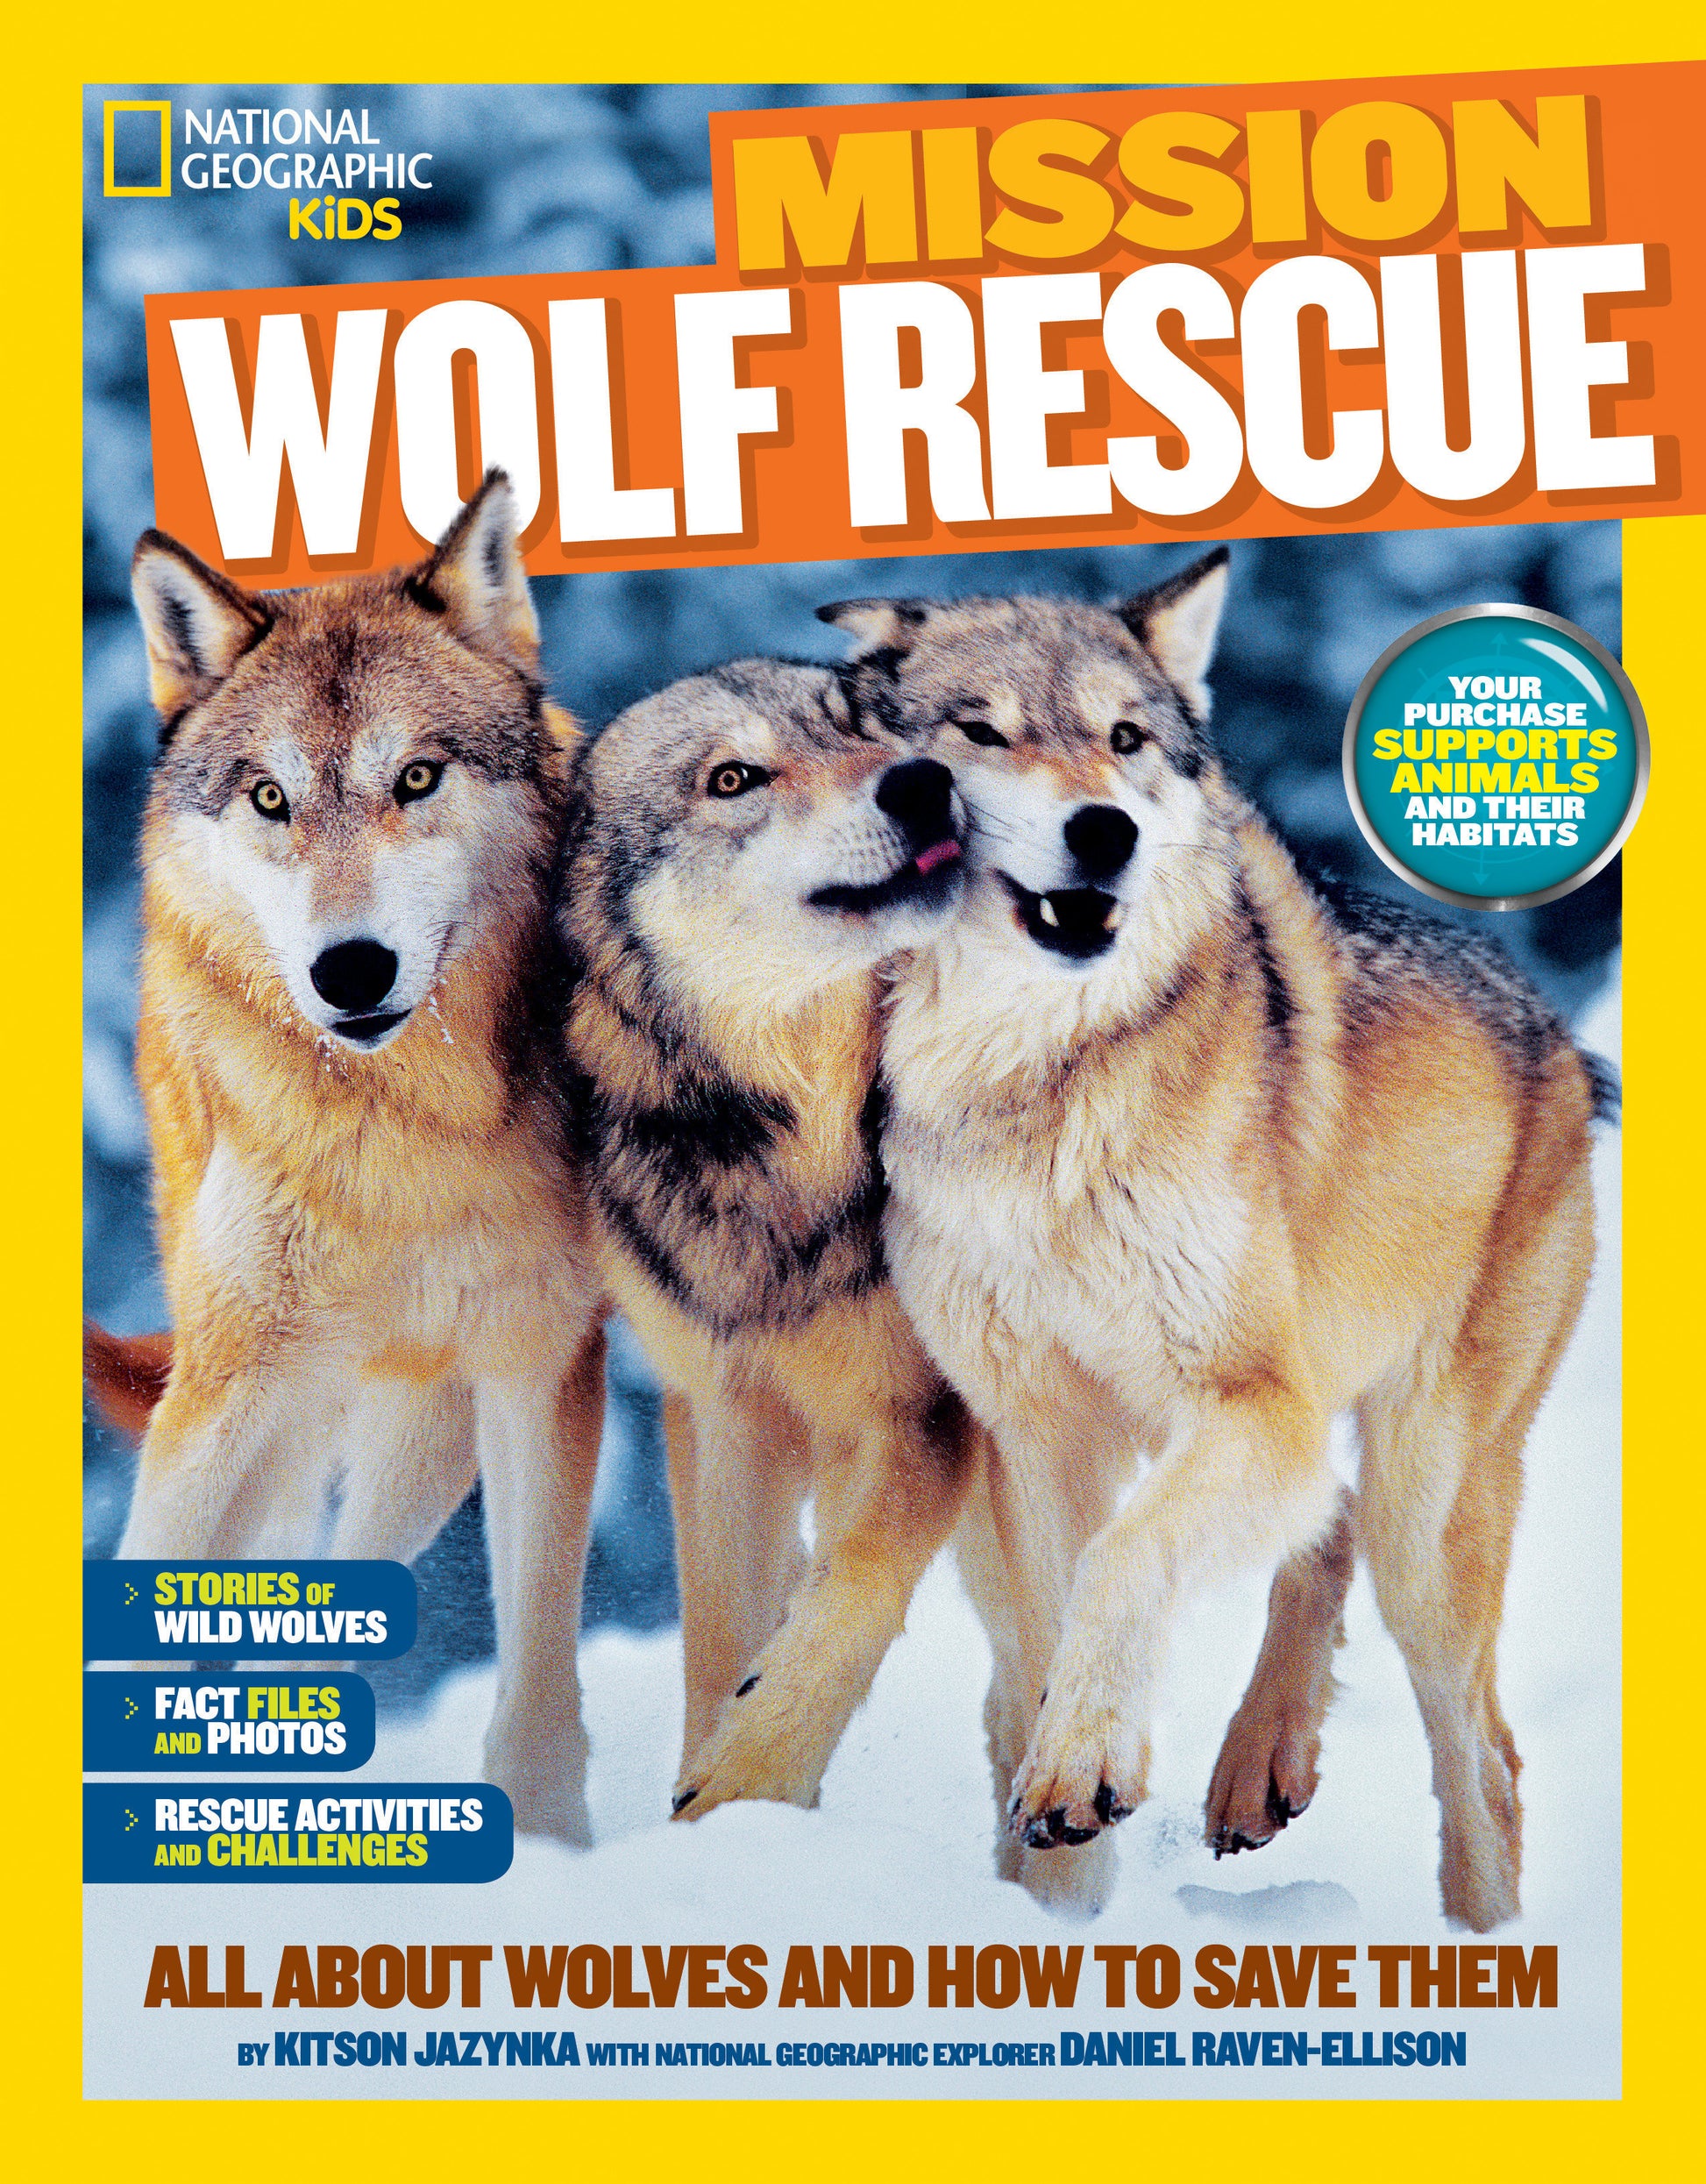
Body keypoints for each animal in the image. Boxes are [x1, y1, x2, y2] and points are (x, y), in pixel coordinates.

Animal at [102, 470, 606, 1840]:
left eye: (418, 776)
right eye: (270, 797)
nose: (350, 970)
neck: (412, 1135)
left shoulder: (543, 1365)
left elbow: (537, 1687)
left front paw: (550, 1848)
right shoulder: (223, 1390)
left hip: (419, 1440)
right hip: (277, 1403)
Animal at [558, 659, 978, 1817]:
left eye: (860, 728)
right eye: (733, 778)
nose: (923, 782)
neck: (798, 1147)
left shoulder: (918, 1416)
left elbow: (850, 1592)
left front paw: (745, 1782)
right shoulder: (726, 1414)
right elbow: (721, 1635)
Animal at [823, 554, 1609, 1930]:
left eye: (1126, 739)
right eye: (981, 731)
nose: (1104, 830)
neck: (1031, 1083)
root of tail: (1558, 1033)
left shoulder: (1247, 1402)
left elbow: (1121, 1565)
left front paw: (1081, 1768)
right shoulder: (1038, 1434)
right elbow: (1052, 1627)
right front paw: (1059, 1908)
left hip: (1425, 1516)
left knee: (1487, 1762)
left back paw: (1483, 1941)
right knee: (1321, 1525)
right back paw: (1258, 1765)